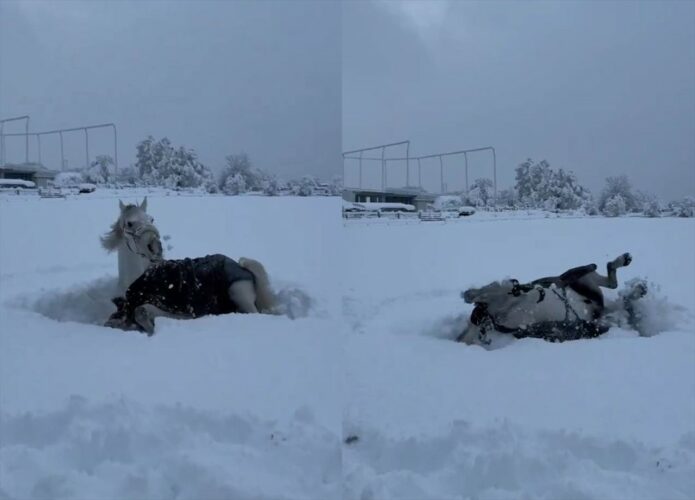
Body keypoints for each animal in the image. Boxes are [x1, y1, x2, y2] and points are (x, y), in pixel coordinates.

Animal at [104, 253, 277, 335]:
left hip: (237, 290)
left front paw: (151, 330)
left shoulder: (187, 313)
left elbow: (142, 310)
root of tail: (244, 269)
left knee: (254, 313)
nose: (106, 325)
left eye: (115, 324)